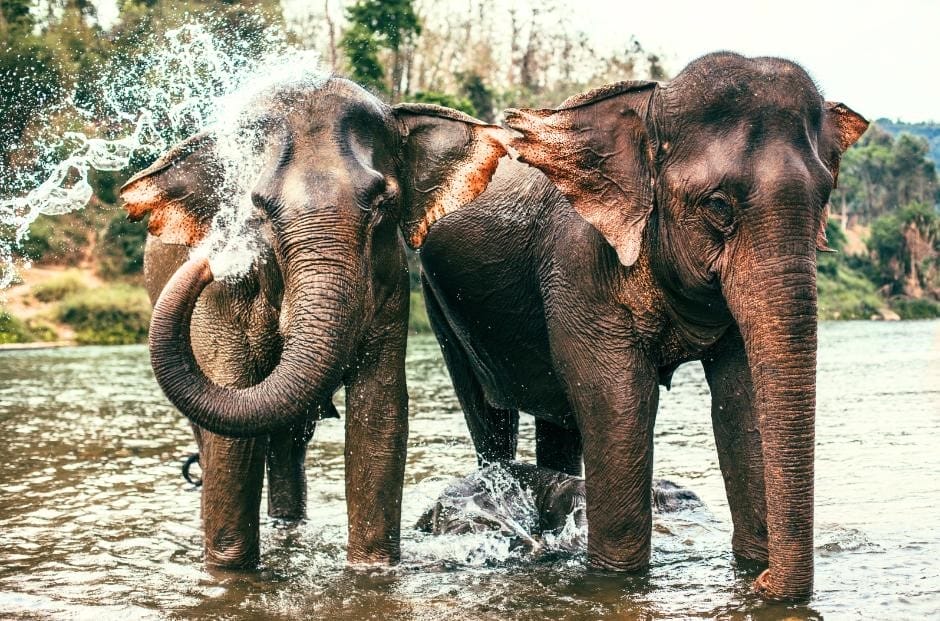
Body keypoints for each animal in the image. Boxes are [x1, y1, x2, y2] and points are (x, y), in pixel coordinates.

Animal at [119, 77, 510, 569]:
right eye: (258, 208)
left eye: (382, 203)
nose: (214, 258)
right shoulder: (221, 303)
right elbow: (231, 434)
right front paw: (228, 571)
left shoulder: (389, 285)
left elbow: (379, 415)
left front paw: (371, 570)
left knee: (289, 442)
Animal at [418, 52, 867, 599]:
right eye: (718, 205)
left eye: (825, 198)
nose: (763, 584)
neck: (651, 106)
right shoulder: (579, 264)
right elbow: (619, 400)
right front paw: (618, 578)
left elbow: (741, 400)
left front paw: (750, 566)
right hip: (438, 302)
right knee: (490, 415)